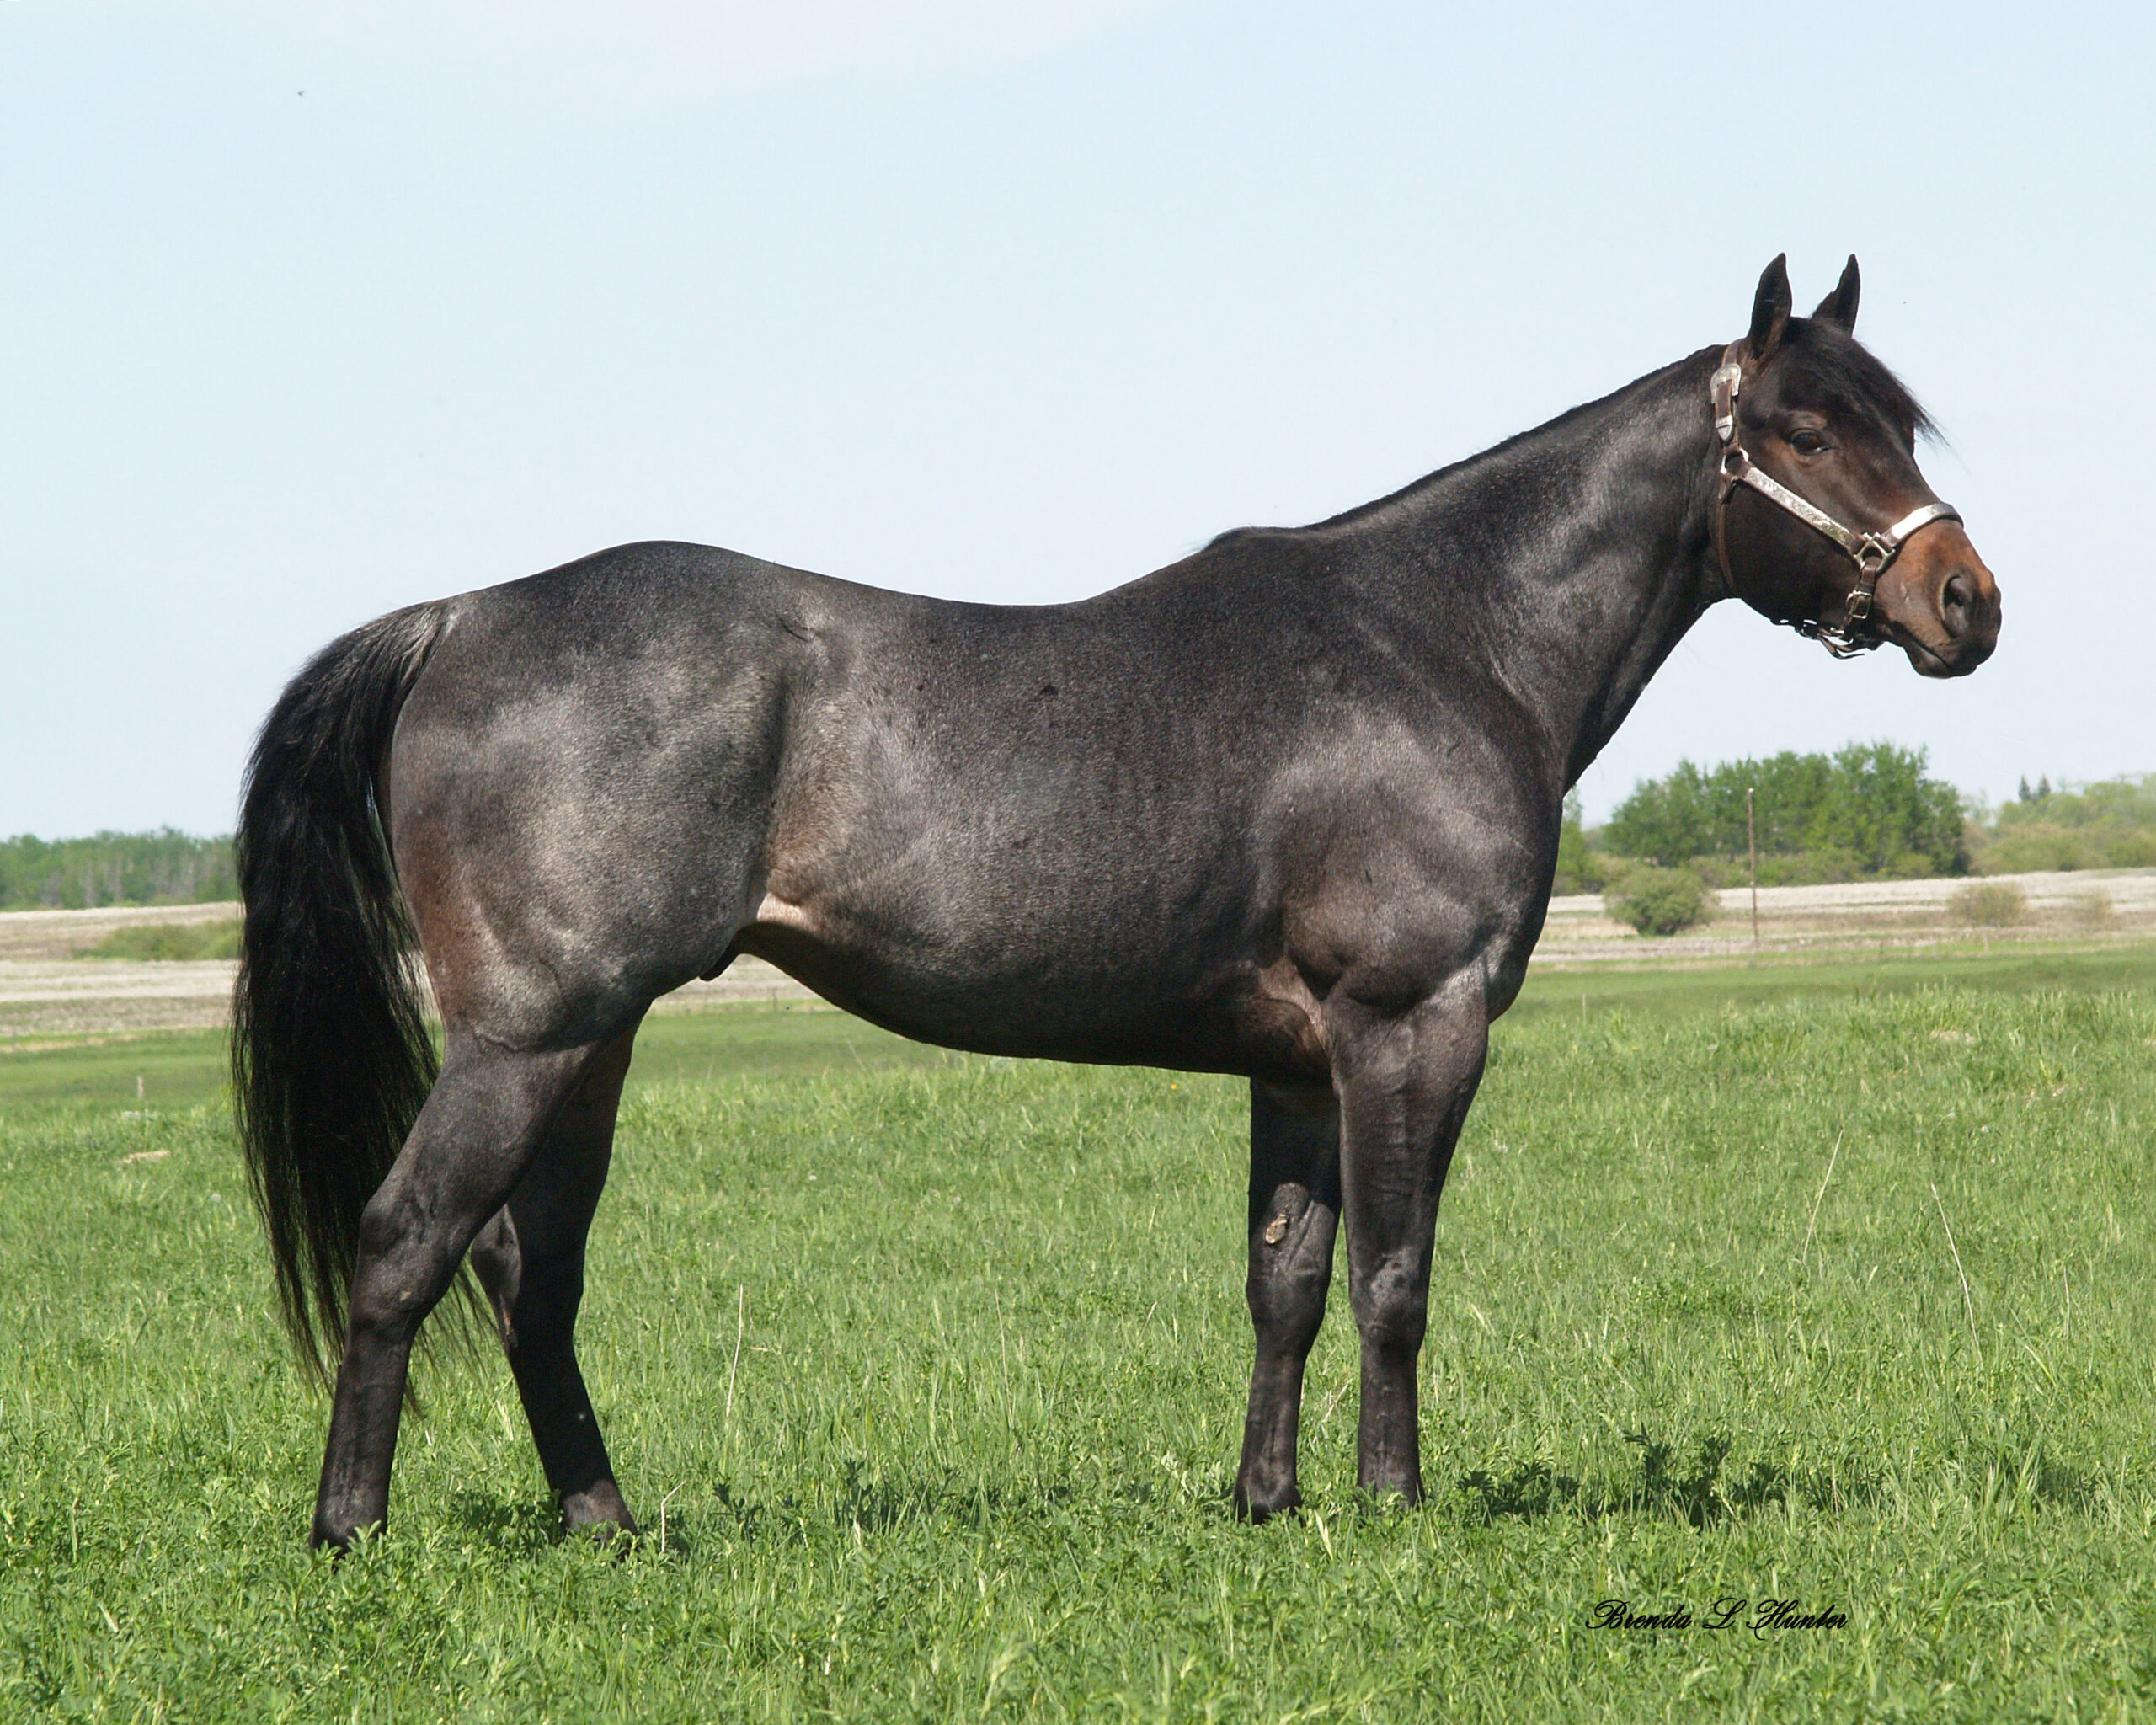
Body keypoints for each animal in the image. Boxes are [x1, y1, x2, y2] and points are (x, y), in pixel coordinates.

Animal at [232, 255, 2000, 1548]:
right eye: (1804, 431)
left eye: (1894, 426)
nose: (1966, 600)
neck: (1446, 637)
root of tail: (462, 617)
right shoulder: (1410, 1023)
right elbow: (1396, 1278)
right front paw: (1398, 1505)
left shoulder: (1299, 1058)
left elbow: (1287, 1283)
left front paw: (1269, 1502)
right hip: (530, 1035)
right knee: (405, 1240)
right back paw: (349, 1531)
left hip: (589, 1044)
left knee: (529, 1270)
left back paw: (603, 1519)